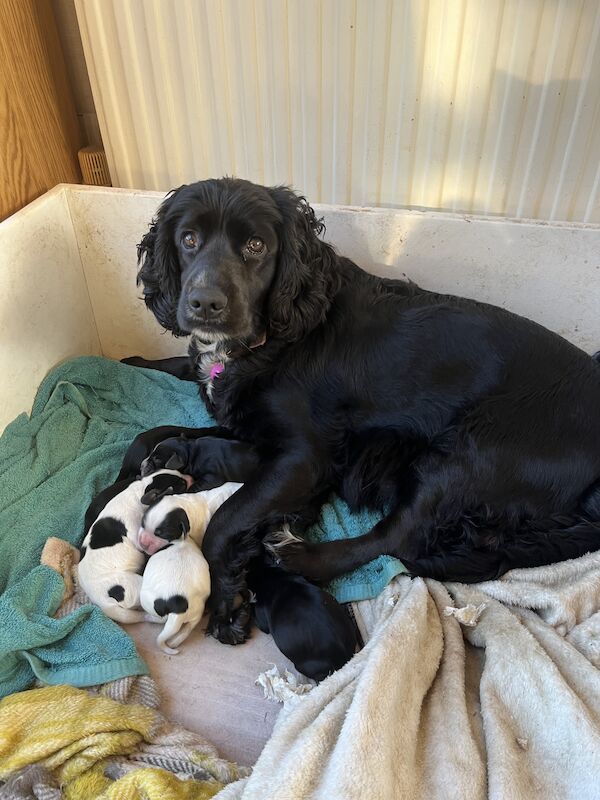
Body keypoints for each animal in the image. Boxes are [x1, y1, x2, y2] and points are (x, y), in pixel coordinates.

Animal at [76, 468, 191, 624]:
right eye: (181, 485)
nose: (190, 478)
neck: (140, 490)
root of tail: (104, 604)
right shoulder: (141, 537)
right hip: (137, 585)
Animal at [130, 177, 600, 644]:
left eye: (256, 245)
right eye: (189, 239)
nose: (204, 303)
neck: (272, 339)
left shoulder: (305, 458)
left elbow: (226, 519)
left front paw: (225, 603)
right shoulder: (251, 430)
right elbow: (172, 430)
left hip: (468, 453)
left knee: (398, 538)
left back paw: (300, 557)